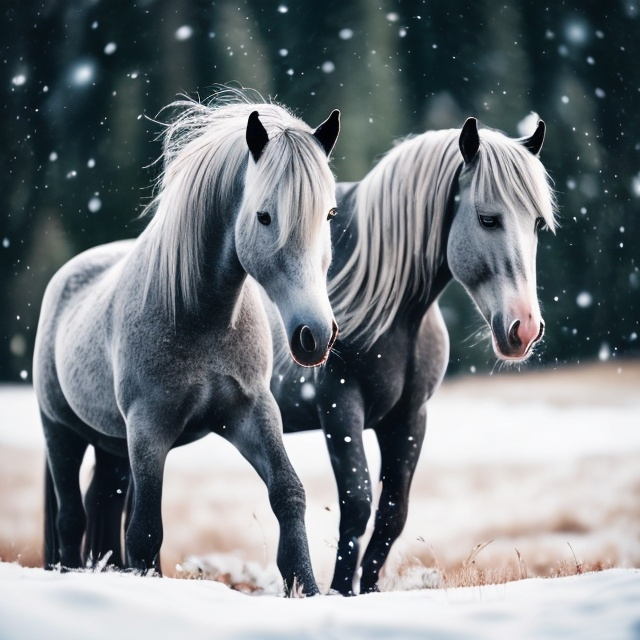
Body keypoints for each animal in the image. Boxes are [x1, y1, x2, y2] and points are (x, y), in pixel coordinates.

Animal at [31, 92, 340, 596]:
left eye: (329, 214)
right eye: (264, 216)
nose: (314, 334)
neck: (201, 316)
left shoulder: (252, 412)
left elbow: (288, 493)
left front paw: (308, 588)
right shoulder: (148, 428)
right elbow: (145, 531)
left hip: (113, 447)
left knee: (101, 508)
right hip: (61, 433)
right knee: (71, 519)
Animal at [270, 116, 556, 596]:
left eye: (537, 223)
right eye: (488, 219)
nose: (525, 328)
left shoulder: (408, 416)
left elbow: (392, 515)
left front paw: (368, 592)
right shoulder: (339, 405)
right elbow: (357, 505)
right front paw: (340, 592)